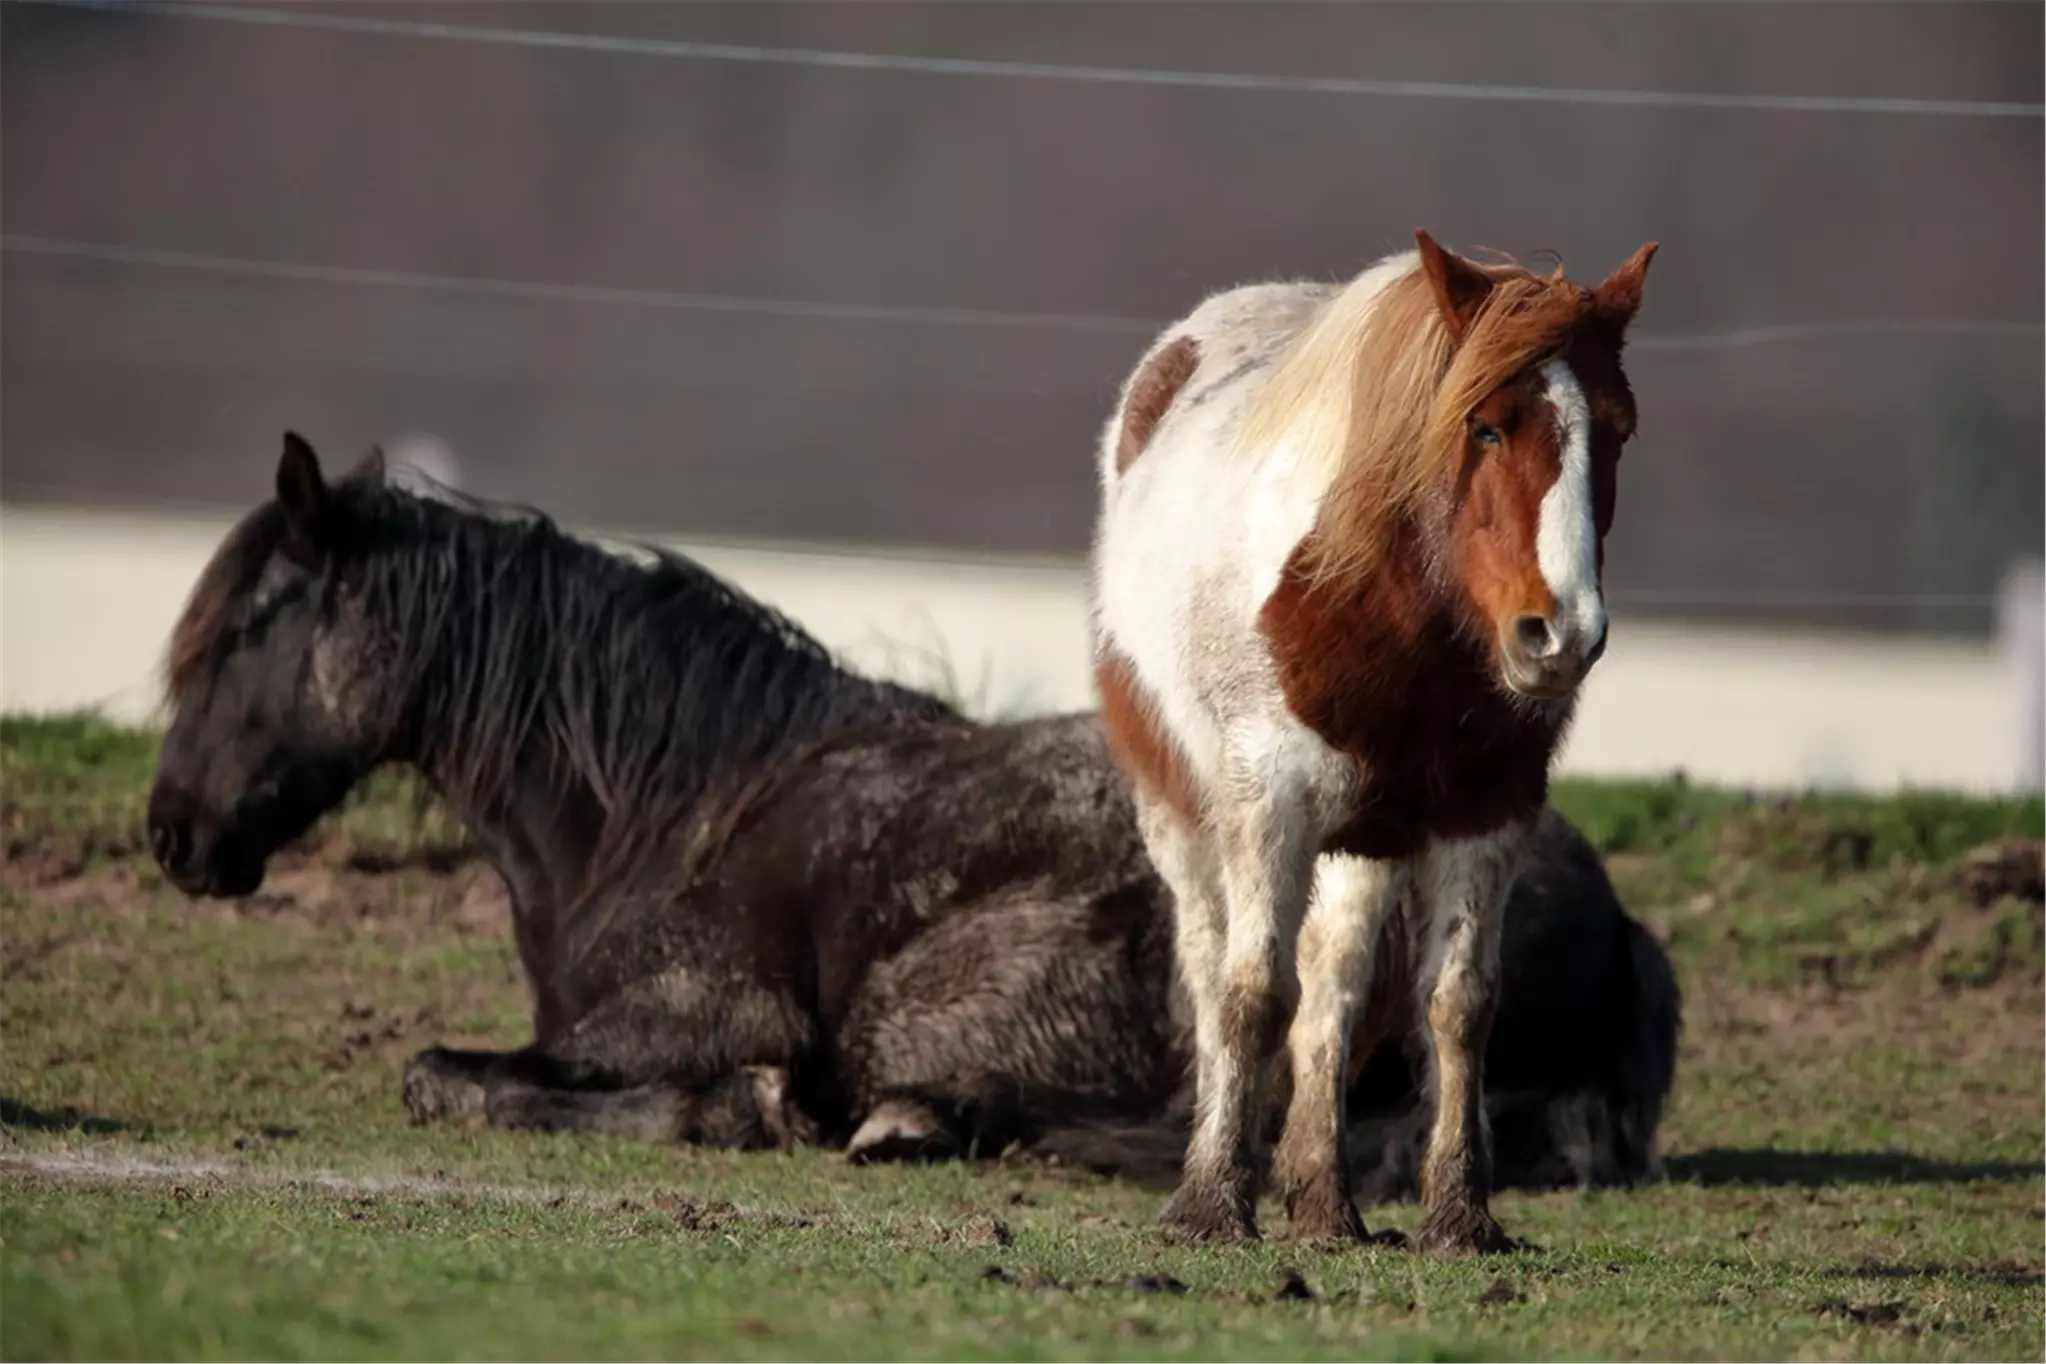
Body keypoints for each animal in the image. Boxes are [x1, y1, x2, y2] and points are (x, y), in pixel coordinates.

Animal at [144, 435, 1677, 1202]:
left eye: (258, 619)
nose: (172, 832)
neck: (671, 807)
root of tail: (1615, 914)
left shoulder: (695, 1017)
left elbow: (451, 1075)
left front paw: (743, 1111)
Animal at [1096, 229, 1653, 1251]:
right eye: (1485, 426)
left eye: (1617, 430)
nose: (1561, 635)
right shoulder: (1268, 801)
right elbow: (1250, 994)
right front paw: (1211, 1208)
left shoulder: (1488, 812)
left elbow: (1458, 1002)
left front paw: (1461, 1216)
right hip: (1181, 819)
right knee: (1213, 972)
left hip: (1367, 846)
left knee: (1335, 989)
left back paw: (1325, 1204)